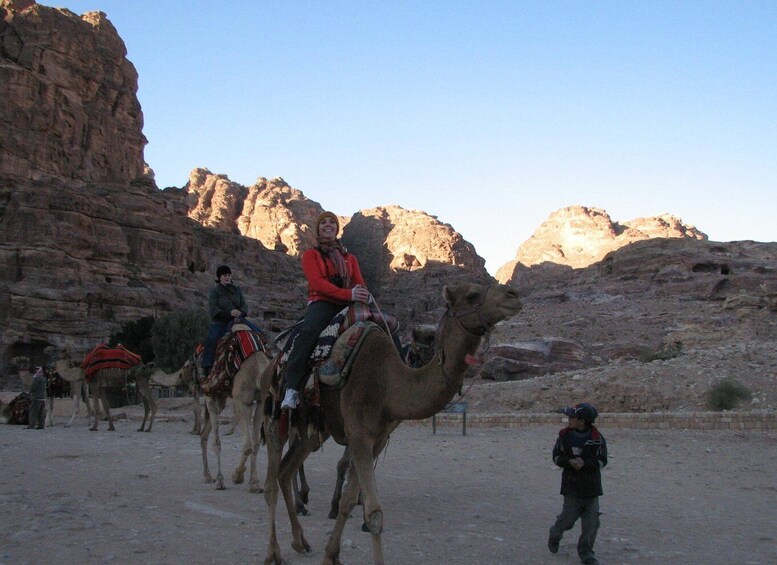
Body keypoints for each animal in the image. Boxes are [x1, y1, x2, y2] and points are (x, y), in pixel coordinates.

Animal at [260, 282, 520, 564]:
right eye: (472, 295)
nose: (513, 295)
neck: (387, 382)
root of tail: (272, 361)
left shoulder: (377, 440)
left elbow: (349, 501)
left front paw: (331, 554)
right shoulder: (359, 435)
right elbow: (374, 513)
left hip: (311, 430)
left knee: (285, 471)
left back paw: (300, 541)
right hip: (275, 415)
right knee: (271, 482)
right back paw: (273, 553)